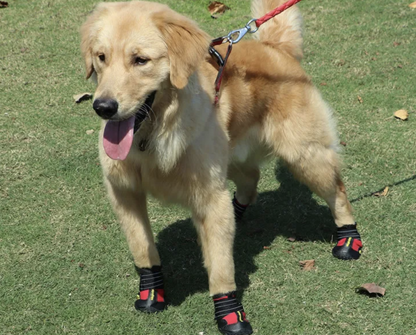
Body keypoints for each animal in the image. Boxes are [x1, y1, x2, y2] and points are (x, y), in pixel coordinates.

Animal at [79, 1, 362, 334]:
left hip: (304, 155)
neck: (154, 134)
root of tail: (274, 47)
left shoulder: (209, 196)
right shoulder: (125, 194)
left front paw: (230, 312)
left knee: (338, 190)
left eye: (140, 60)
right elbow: (143, 248)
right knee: (251, 178)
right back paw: (238, 212)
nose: (103, 107)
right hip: (231, 157)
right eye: (101, 57)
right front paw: (151, 292)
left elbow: (220, 267)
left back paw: (349, 238)